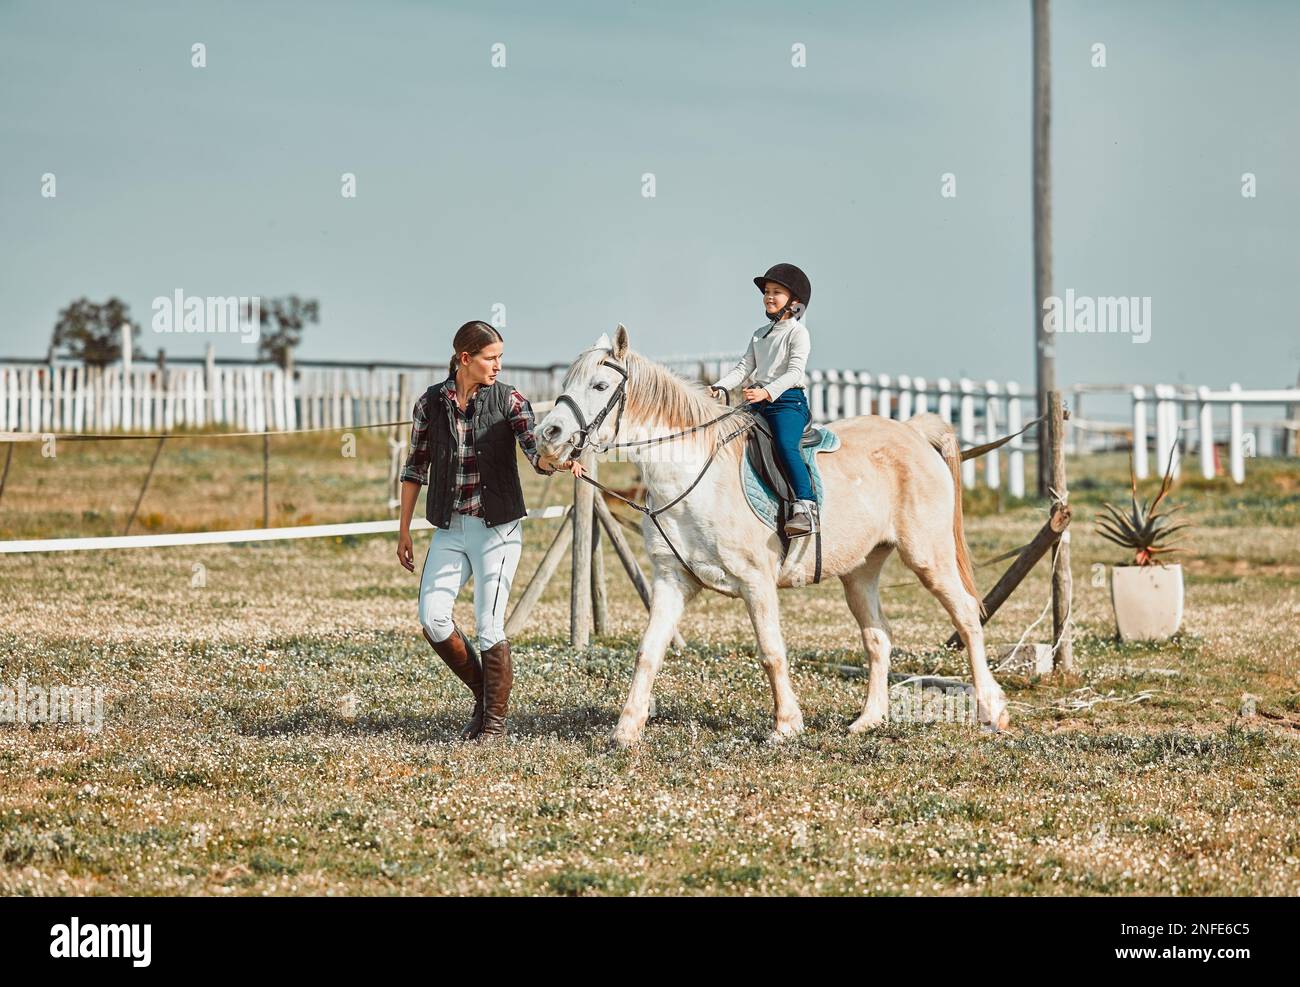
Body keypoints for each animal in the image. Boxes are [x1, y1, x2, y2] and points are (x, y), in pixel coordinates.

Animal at [533, 326, 1008, 749]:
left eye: (599, 385)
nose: (547, 436)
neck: (694, 475)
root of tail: (912, 431)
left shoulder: (755, 581)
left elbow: (770, 651)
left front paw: (785, 726)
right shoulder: (672, 581)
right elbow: (648, 651)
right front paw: (626, 731)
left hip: (928, 557)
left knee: (967, 616)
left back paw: (991, 711)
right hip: (860, 571)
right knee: (878, 637)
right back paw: (868, 720)